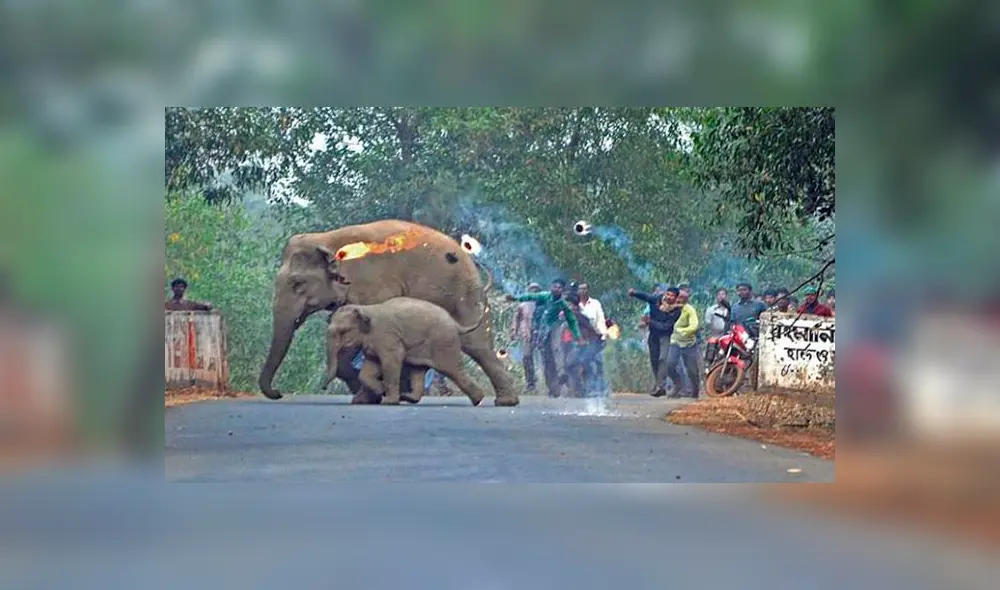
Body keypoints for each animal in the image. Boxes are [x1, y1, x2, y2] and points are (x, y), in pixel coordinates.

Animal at [321, 297, 489, 405]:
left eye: (343, 331)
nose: (323, 387)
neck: (366, 308)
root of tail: (456, 323)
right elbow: (368, 369)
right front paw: (379, 393)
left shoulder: (387, 337)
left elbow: (391, 362)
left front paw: (387, 400)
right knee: (418, 370)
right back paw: (408, 398)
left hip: (443, 342)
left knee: (452, 369)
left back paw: (478, 400)